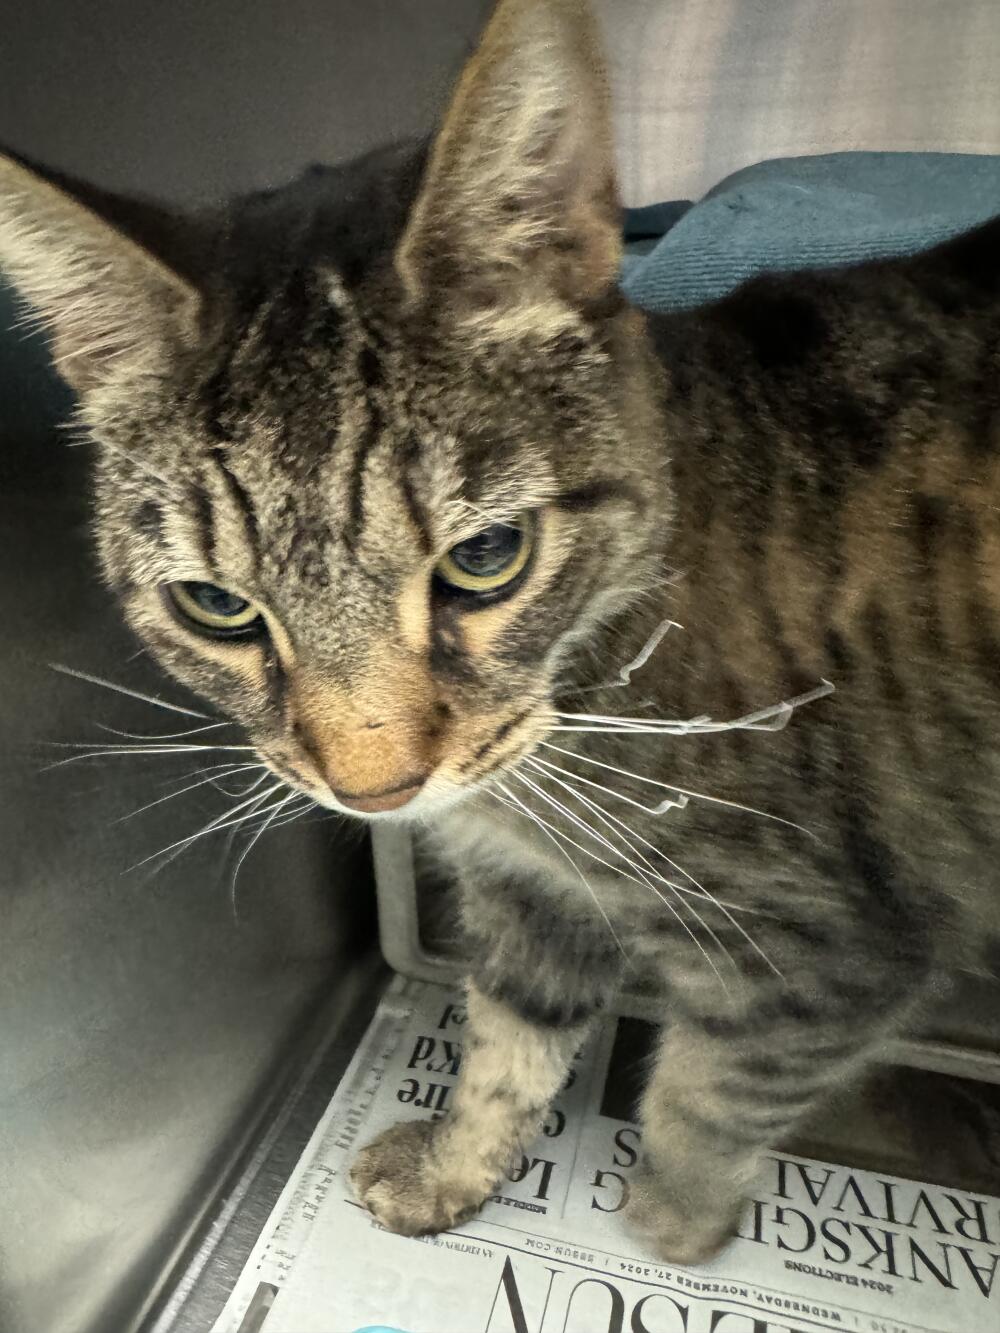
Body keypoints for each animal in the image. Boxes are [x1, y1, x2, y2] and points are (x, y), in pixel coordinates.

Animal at [1, 0, 1000, 1258]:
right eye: (216, 605)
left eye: (485, 558)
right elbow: (504, 1043)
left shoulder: (824, 950)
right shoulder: (532, 899)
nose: (375, 790)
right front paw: (451, 1165)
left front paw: (672, 1222)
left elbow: (707, 1092)